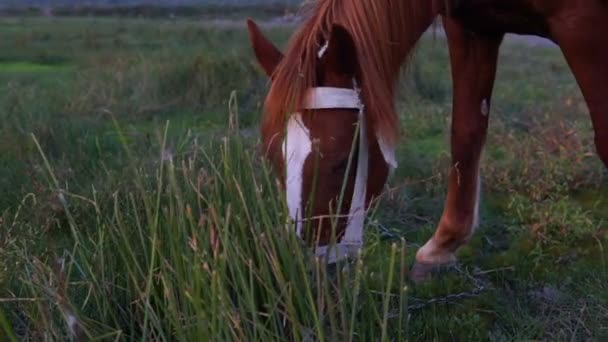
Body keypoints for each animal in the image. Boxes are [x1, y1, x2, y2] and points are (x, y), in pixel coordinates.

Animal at [247, 0, 608, 278]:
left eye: (341, 162)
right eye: (275, 159)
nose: (310, 269)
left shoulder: (582, 24)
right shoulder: (470, 26)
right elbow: (465, 133)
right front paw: (441, 246)